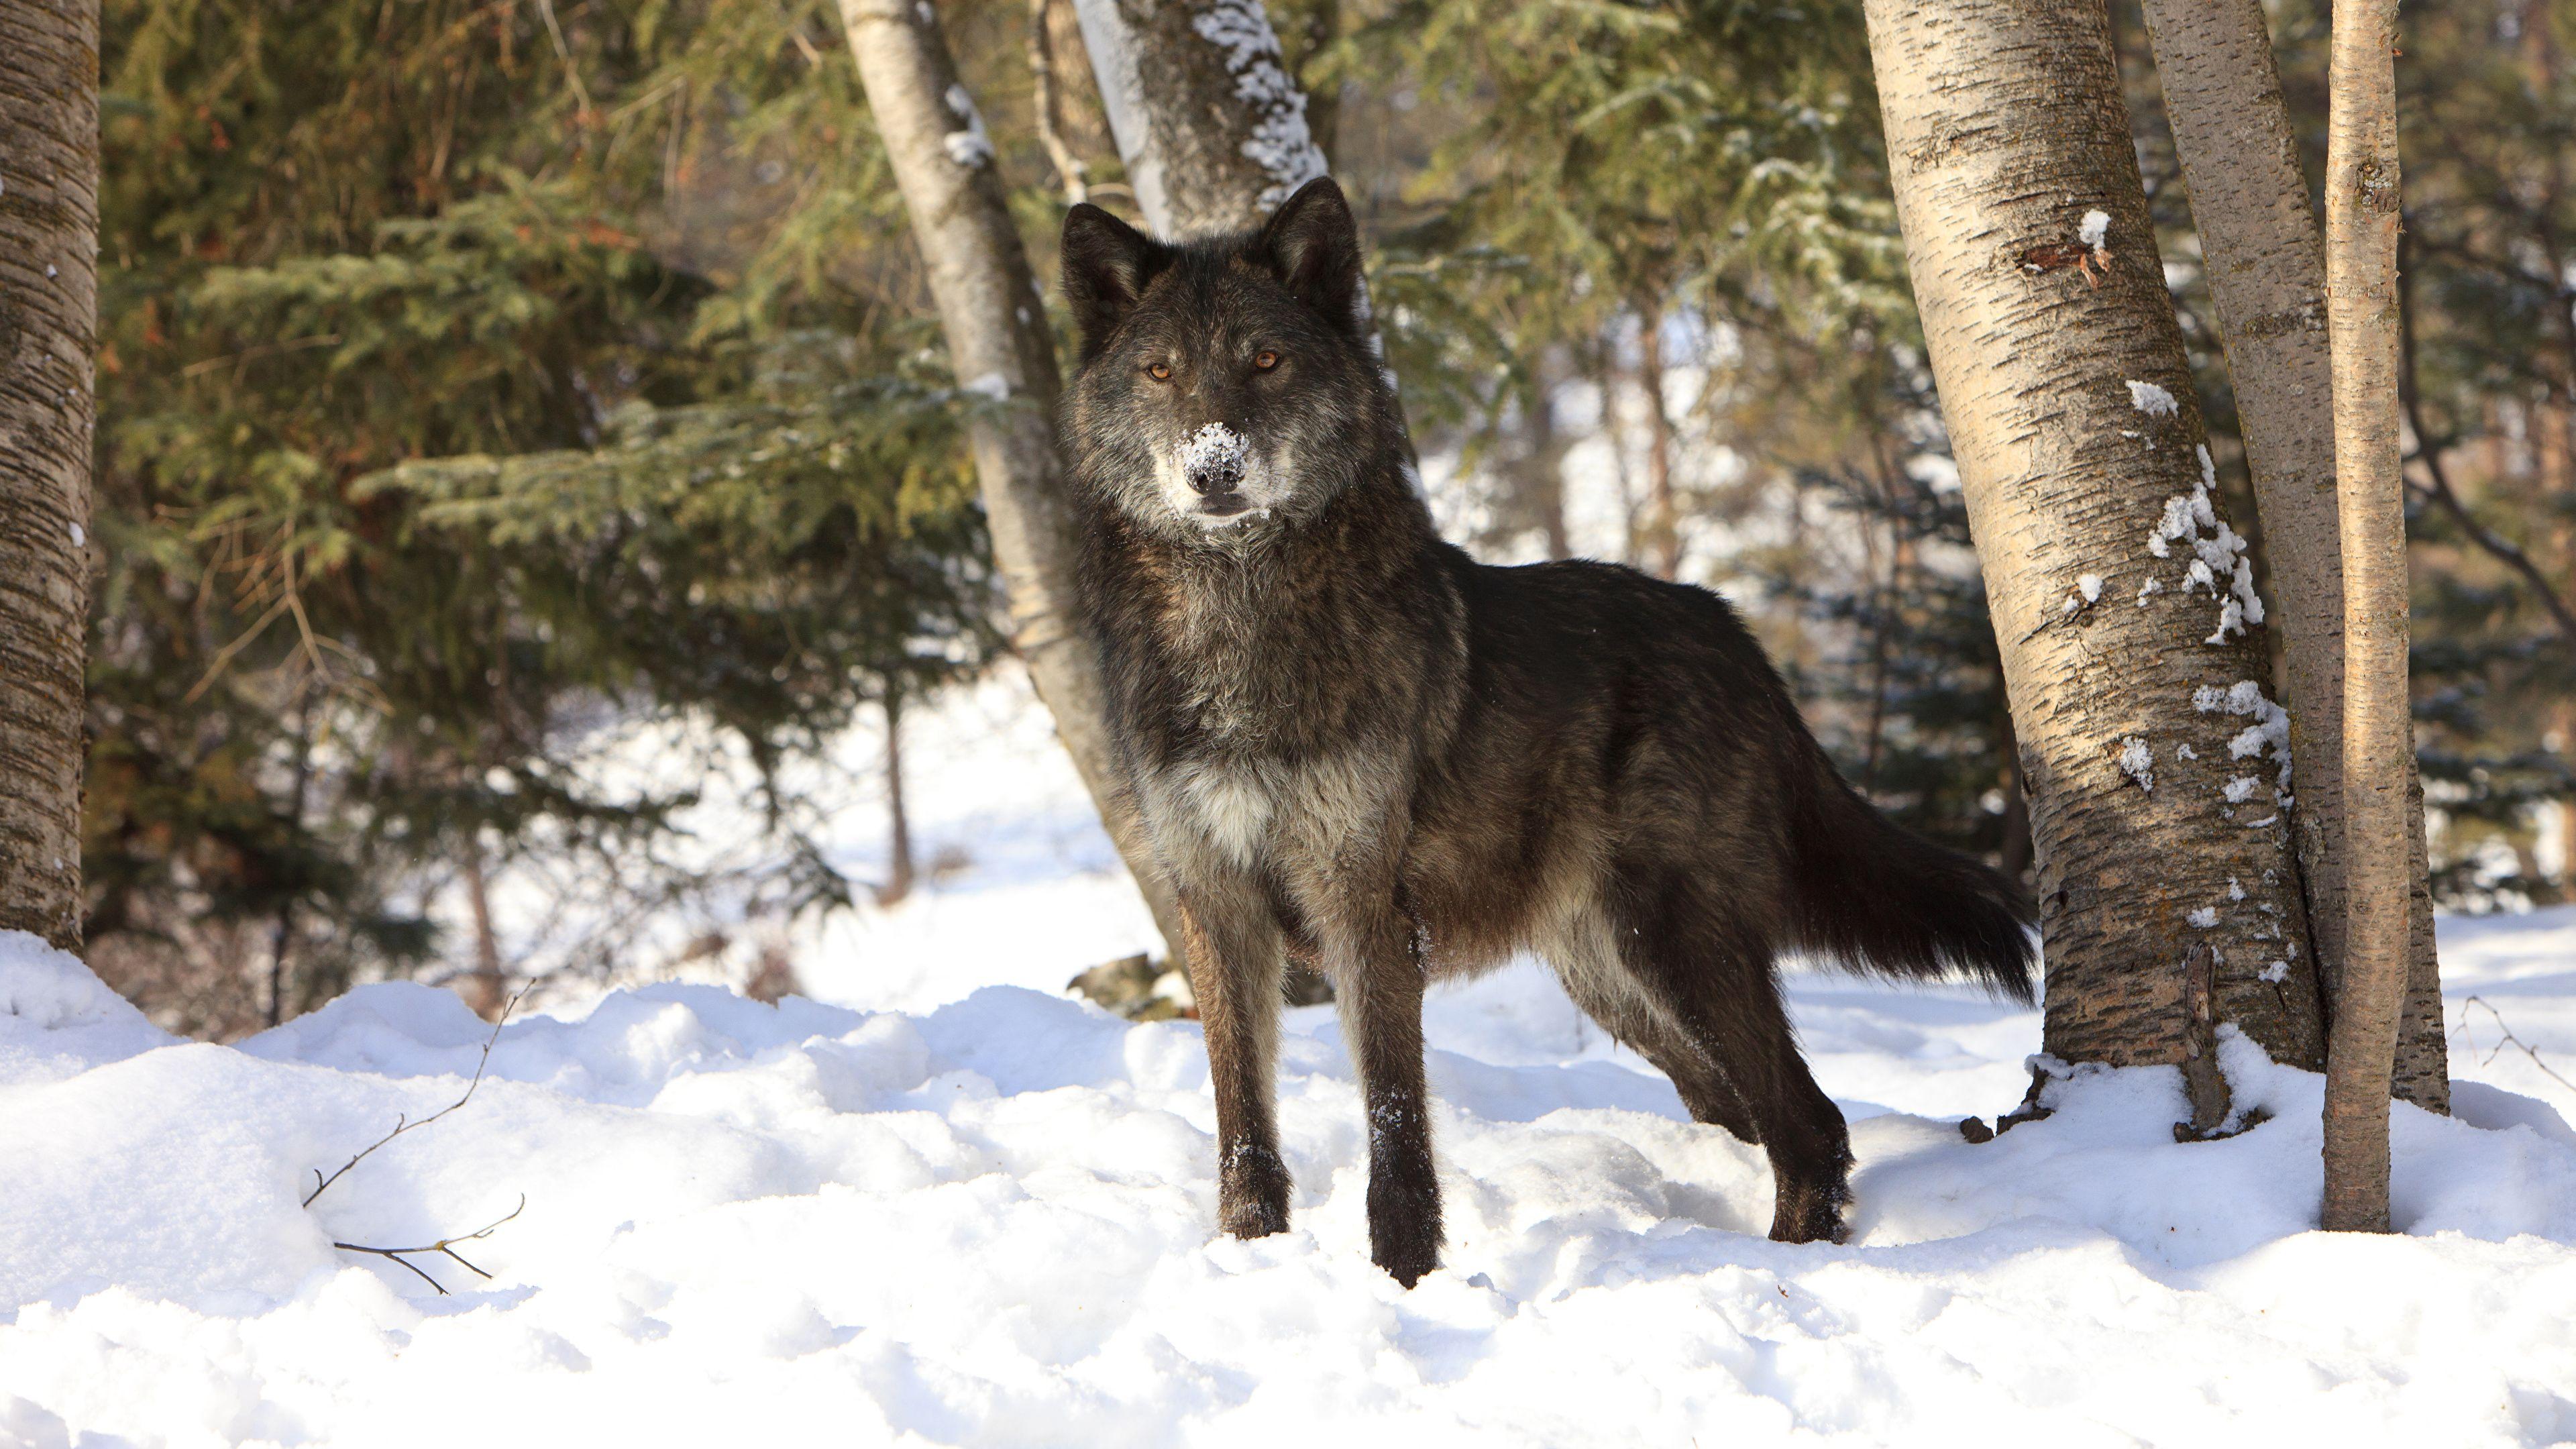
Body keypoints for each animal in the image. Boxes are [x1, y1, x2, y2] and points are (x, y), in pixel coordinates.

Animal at [1057, 177, 2035, 1288]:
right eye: (1162, 372)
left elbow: (1396, 1124)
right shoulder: (1214, 909)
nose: (1213, 469)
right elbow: (1242, 1129)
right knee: (1748, 1112)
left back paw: (1783, 1270)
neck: (1240, 625)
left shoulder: (1362, 907)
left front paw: (1405, 1284)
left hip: (1675, 943)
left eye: (1266, 360)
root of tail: (1734, 633)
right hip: (1614, 979)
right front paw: (1250, 1256)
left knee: (1811, 1124)